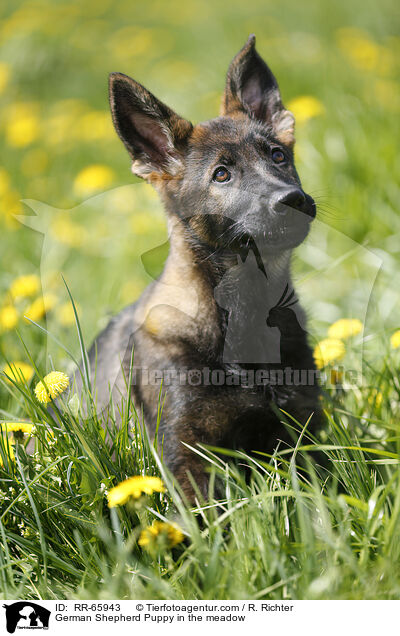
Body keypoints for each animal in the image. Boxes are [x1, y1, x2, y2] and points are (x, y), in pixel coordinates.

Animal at [89, 34, 320, 500]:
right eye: (221, 175)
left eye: (277, 155)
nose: (292, 200)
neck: (245, 311)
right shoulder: (188, 451)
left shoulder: (304, 430)